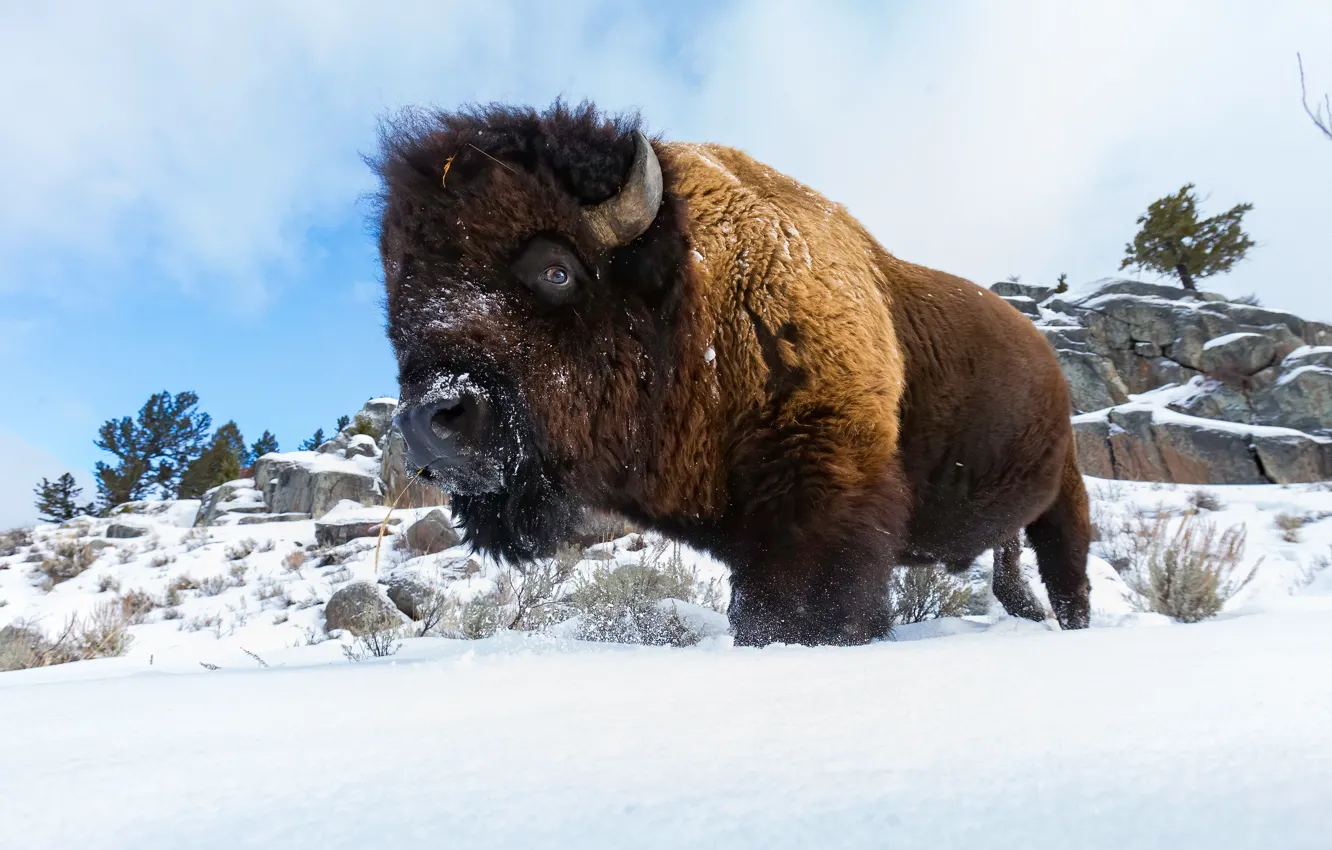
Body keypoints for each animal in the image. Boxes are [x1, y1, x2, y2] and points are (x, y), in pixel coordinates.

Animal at [375, 101, 1090, 646]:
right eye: (399, 303)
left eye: (557, 269)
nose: (431, 421)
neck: (700, 300)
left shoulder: (822, 506)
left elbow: (802, 614)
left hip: (1065, 492)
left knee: (1068, 570)